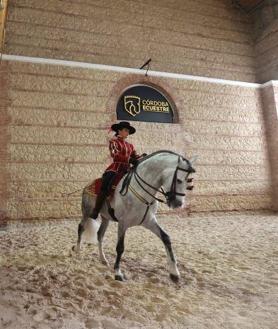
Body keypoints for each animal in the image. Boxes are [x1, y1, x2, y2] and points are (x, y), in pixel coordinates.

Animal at [73, 150, 197, 280]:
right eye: (178, 180)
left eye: (188, 181)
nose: (178, 203)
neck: (142, 192)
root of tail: (88, 185)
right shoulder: (123, 223)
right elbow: (120, 247)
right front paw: (118, 273)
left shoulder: (149, 221)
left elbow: (166, 238)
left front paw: (174, 273)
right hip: (87, 212)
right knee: (81, 228)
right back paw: (78, 251)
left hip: (106, 218)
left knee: (100, 235)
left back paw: (103, 259)